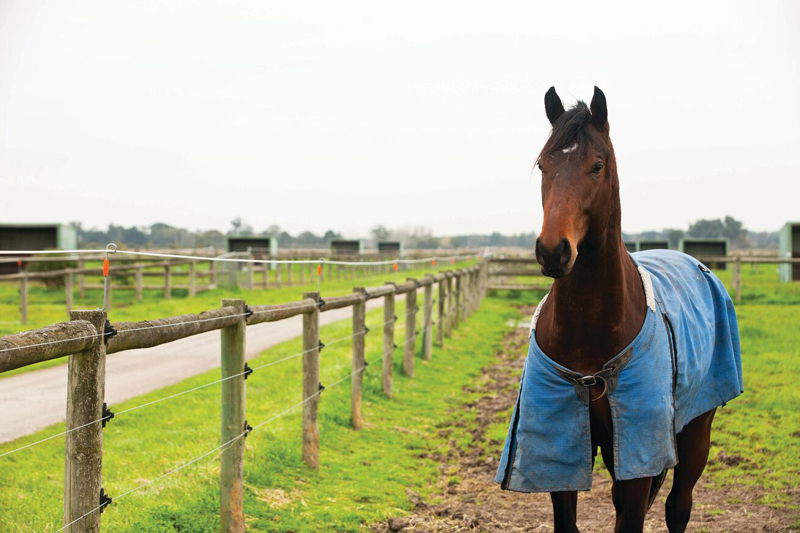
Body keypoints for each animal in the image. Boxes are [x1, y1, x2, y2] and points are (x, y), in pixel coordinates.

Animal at [494, 87, 743, 533]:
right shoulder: (562, 450)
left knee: (678, 507)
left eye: (596, 165)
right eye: (543, 165)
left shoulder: (640, 454)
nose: (553, 250)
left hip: (696, 431)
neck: (591, 330)